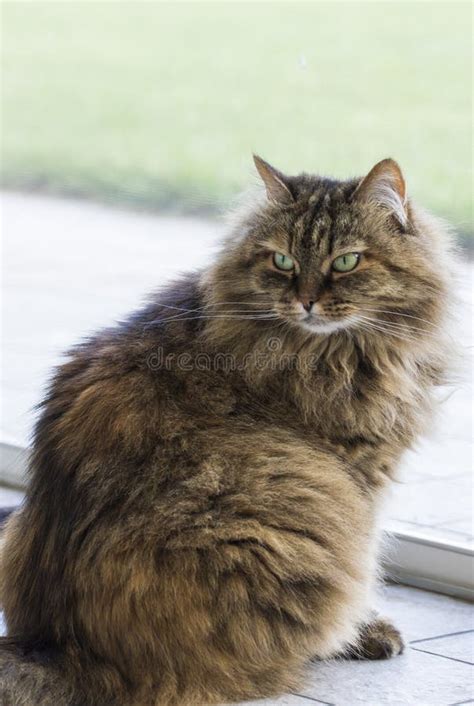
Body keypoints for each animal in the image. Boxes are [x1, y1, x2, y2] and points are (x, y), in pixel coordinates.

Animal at [0, 155, 452, 704]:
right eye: (282, 261)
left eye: (346, 262)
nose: (306, 301)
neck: (332, 350)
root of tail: (63, 650)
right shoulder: (359, 477)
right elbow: (364, 572)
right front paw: (364, 632)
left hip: (12, 531)